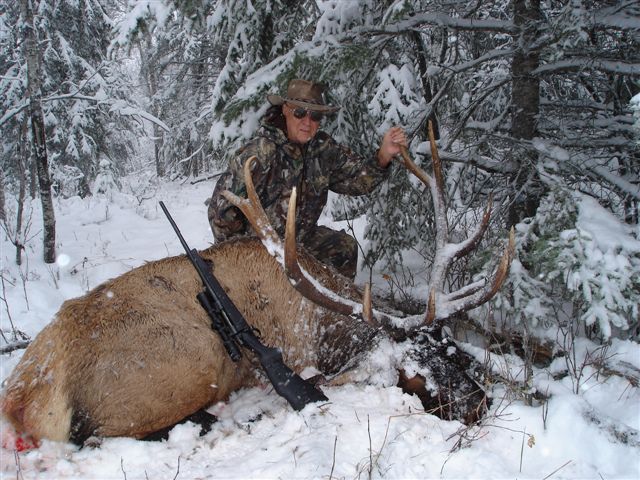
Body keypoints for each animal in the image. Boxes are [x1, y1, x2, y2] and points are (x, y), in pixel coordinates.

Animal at [0, 124, 514, 448]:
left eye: (452, 351)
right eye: (413, 369)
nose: (480, 405)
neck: (322, 325)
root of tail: (24, 395)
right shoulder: (300, 356)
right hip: (188, 360)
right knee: (98, 436)